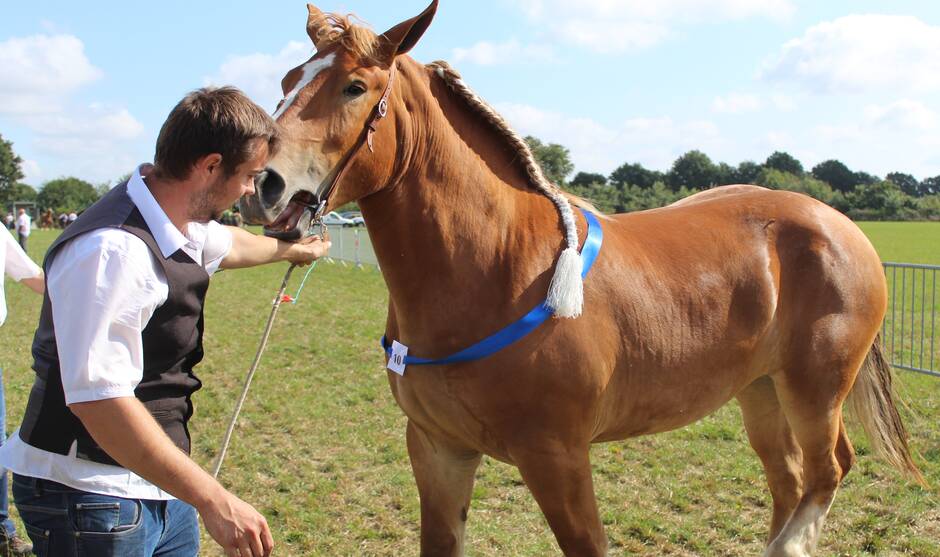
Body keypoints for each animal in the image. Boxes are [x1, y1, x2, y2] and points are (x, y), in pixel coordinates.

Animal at [239, 2, 920, 552]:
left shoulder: (558, 460)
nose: (261, 186)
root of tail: (838, 224)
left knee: (829, 471)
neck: (499, 265)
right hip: (760, 390)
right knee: (789, 481)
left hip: (814, 389)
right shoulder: (438, 451)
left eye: (355, 86)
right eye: (288, 81)